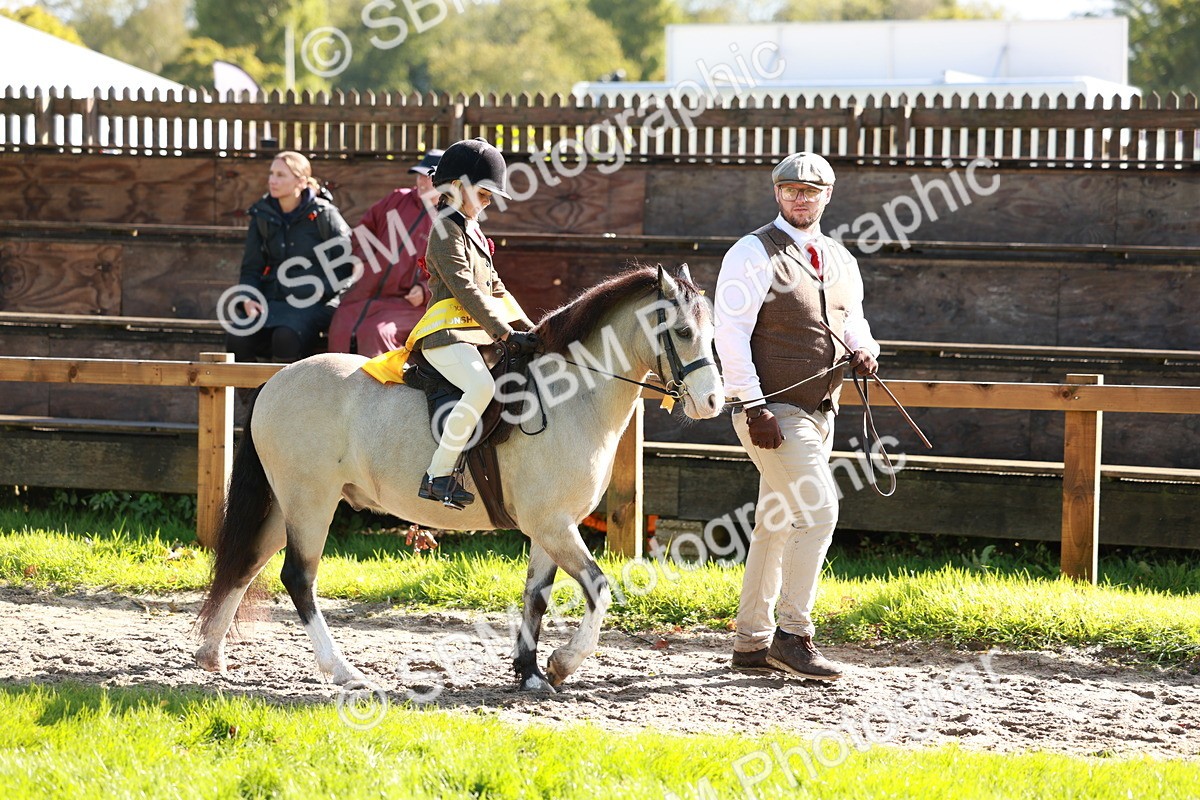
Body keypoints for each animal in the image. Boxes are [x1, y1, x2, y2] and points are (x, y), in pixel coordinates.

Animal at [196, 264, 724, 692]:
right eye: (682, 331)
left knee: (246, 563)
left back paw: (211, 656)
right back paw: (344, 672)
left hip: (286, 503)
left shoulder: (549, 528)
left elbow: (535, 597)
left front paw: (530, 673)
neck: (571, 395)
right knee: (298, 578)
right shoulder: (554, 525)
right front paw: (562, 664)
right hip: (311, 503)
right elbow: (598, 588)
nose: (713, 402)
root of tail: (275, 380)